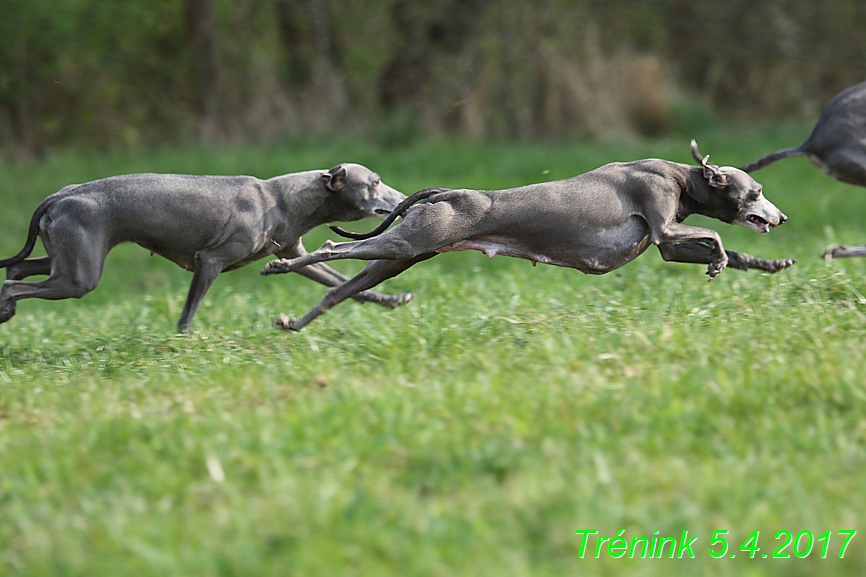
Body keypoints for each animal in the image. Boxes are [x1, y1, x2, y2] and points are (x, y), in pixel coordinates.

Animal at [0, 164, 412, 330]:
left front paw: (392, 299)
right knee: (13, 283)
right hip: (80, 276)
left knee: (17, 269)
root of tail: (60, 195)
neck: (282, 200)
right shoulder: (209, 260)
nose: (404, 198)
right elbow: (187, 315)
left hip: (66, 260)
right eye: (374, 182)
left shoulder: (292, 256)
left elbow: (344, 284)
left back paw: (6, 310)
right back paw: (5, 308)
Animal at [262, 140, 796, 330]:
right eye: (756, 191)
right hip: (402, 244)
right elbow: (716, 238)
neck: (683, 177)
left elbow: (735, 252)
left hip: (400, 257)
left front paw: (774, 264)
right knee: (334, 246)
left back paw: (293, 322)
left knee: (337, 292)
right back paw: (279, 263)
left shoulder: (665, 249)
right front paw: (720, 261)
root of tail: (448, 193)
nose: (784, 218)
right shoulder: (665, 227)